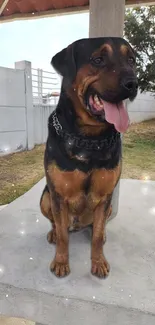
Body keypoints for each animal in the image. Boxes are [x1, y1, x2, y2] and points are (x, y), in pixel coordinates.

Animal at [40, 37, 138, 276]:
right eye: (98, 60)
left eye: (131, 60)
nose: (134, 84)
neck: (89, 140)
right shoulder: (57, 195)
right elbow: (63, 235)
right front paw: (61, 261)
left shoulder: (105, 196)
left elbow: (97, 236)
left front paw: (98, 261)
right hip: (45, 198)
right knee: (56, 224)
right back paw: (53, 233)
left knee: (96, 227)